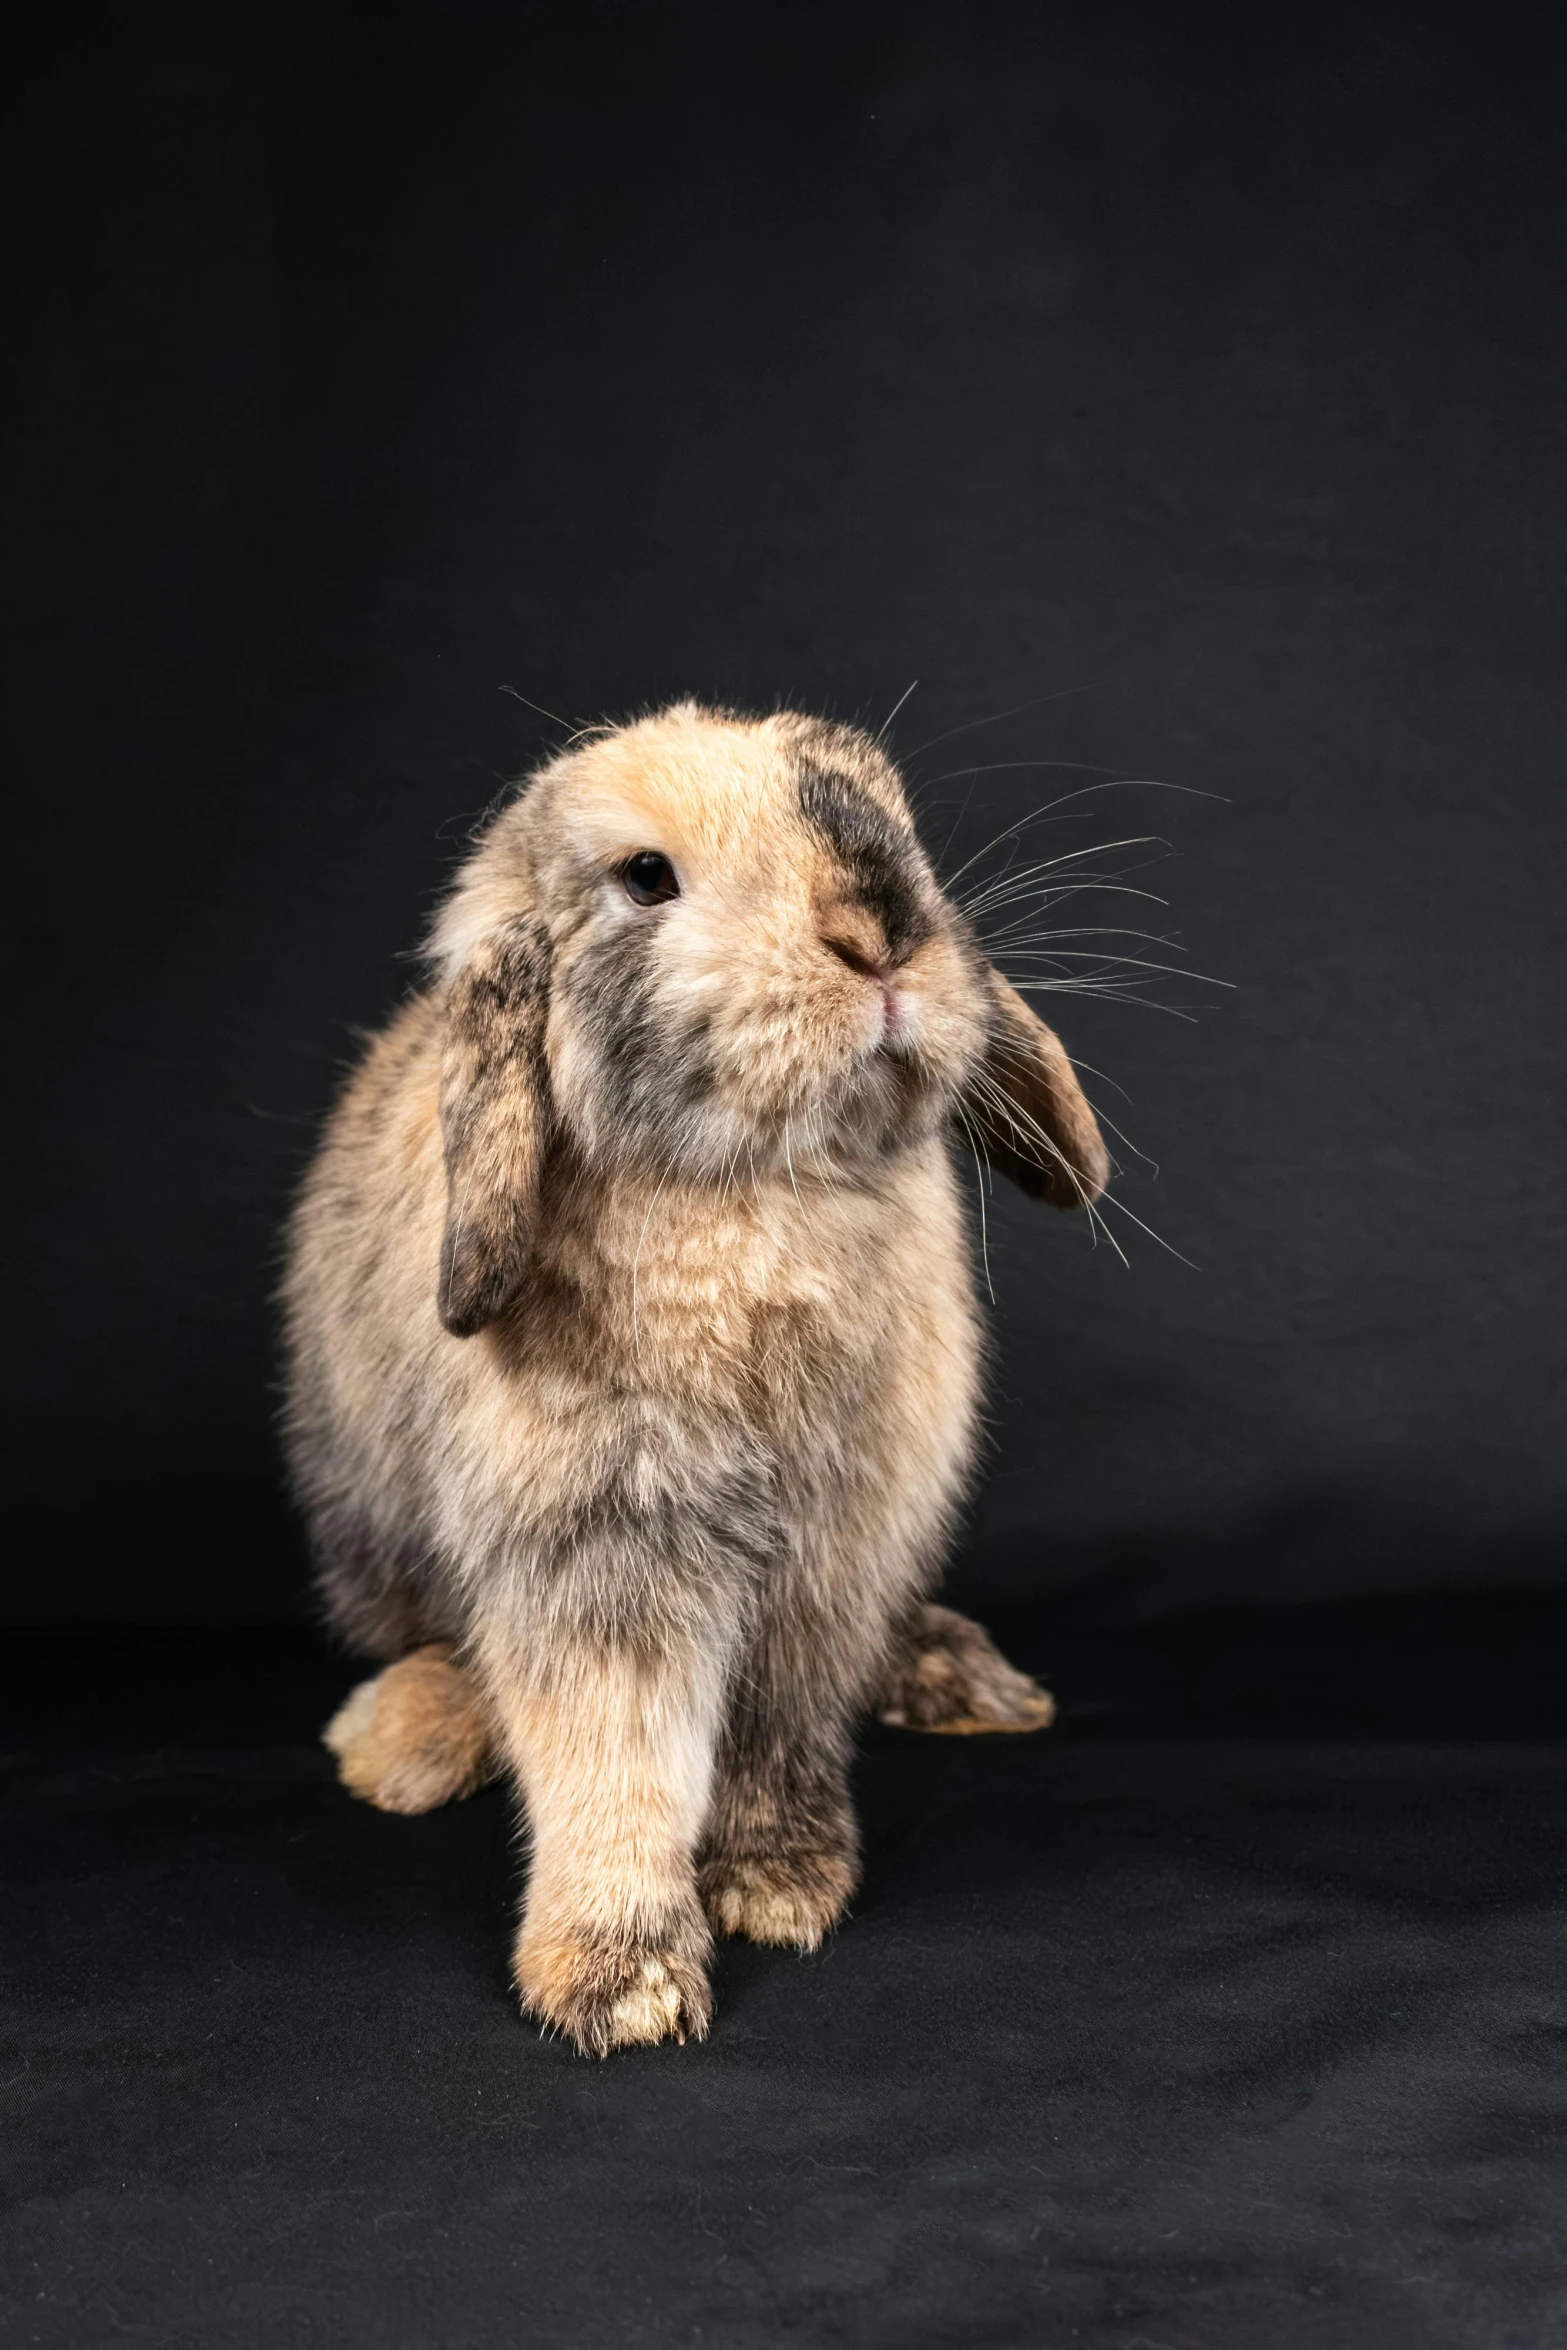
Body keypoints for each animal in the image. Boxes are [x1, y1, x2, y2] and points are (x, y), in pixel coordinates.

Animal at [285, 700, 1113, 2058]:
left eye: (899, 825)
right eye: (645, 877)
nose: (880, 934)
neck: (758, 1192)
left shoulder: (828, 1556)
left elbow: (776, 1729)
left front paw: (778, 1882)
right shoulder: (602, 1546)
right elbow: (614, 1759)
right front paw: (620, 1984)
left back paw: (967, 1680)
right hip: (373, 1535)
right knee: (434, 1646)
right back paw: (403, 1745)